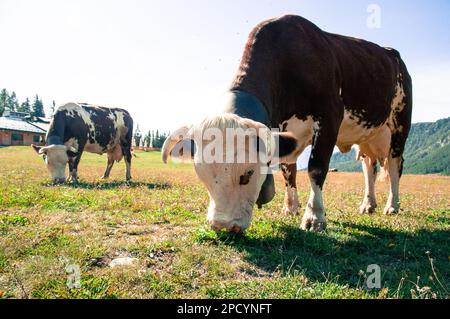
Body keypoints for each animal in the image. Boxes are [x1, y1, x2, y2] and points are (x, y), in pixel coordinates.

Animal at [161, 15, 412, 234]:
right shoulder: (285, 131)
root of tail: (392, 54)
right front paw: (290, 207)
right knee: (369, 167)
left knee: (394, 165)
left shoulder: (330, 115)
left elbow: (316, 168)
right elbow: (287, 169)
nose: (222, 226)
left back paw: (392, 205)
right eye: (202, 175)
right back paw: (368, 204)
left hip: (399, 125)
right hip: (368, 136)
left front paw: (314, 217)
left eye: (247, 174)